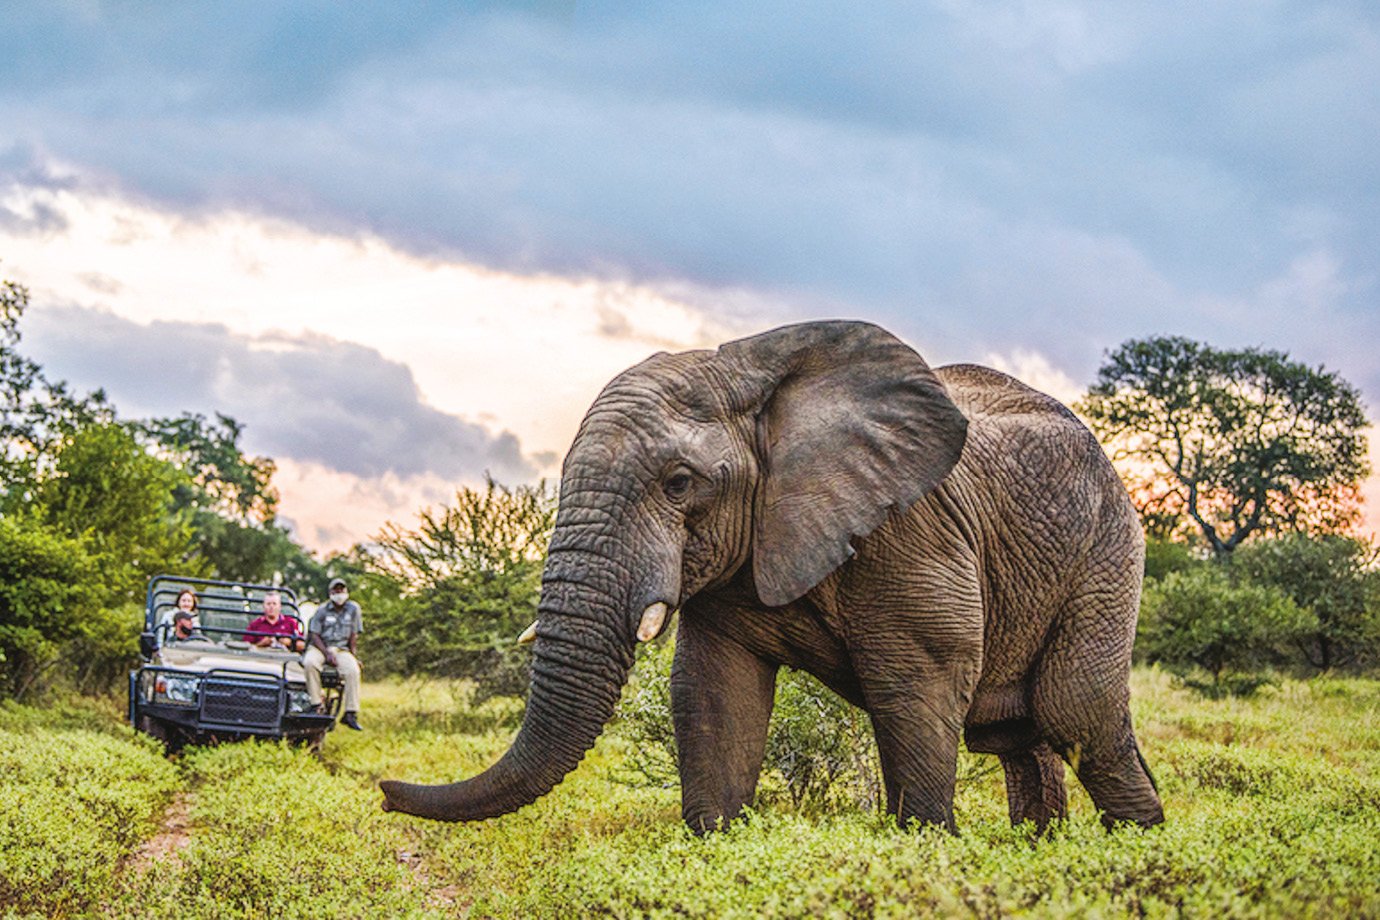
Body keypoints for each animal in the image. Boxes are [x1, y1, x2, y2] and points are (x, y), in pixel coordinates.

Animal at [383, 322, 1170, 833]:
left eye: (679, 483)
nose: (384, 791)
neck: (750, 373)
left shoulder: (911, 528)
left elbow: (918, 681)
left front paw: (924, 846)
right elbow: (714, 690)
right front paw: (714, 841)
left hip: (1107, 553)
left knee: (1076, 710)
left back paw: (1137, 844)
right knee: (1018, 735)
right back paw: (1041, 847)